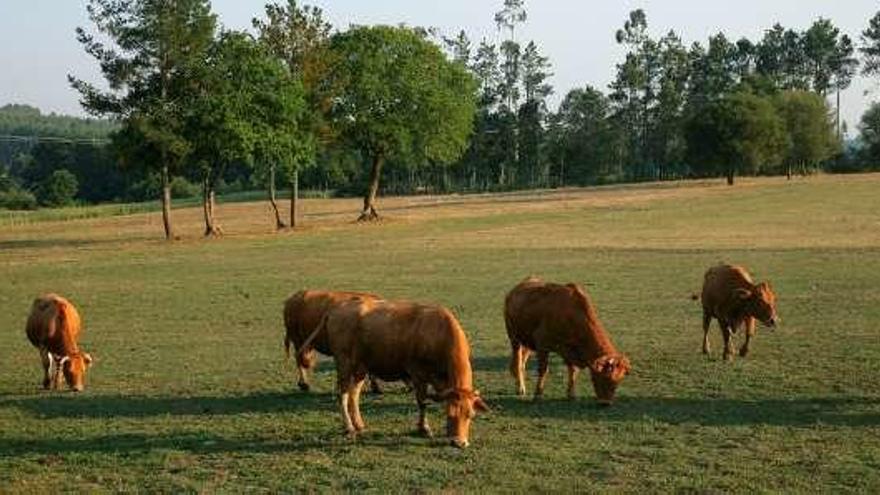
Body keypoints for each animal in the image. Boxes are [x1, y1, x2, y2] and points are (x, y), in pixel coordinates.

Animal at [304, 298, 492, 450]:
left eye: (471, 415)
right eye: (449, 414)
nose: (459, 443)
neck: (439, 335)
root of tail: (336, 309)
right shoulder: (418, 374)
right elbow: (422, 402)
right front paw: (424, 428)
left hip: (360, 368)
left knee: (353, 394)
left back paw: (359, 424)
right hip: (344, 364)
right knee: (342, 395)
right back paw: (349, 427)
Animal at [502, 278, 632, 404]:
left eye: (619, 380)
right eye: (606, 377)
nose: (606, 403)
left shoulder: (569, 349)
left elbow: (573, 371)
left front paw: (571, 395)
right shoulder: (542, 345)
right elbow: (543, 370)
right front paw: (537, 395)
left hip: (527, 342)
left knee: (522, 361)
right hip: (514, 337)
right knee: (518, 360)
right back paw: (520, 387)